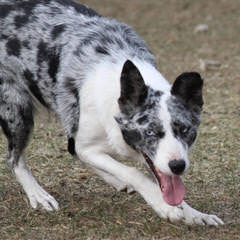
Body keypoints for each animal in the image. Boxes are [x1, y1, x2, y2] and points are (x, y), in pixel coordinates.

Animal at [0, 0, 223, 226]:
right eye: (150, 132)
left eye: (185, 130)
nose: (178, 165)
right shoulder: (87, 147)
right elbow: (132, 172)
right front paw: (163, 206)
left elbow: (167, 183)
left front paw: (195, 214)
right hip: (17, 112)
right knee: (14, 159)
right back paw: (38, 194)